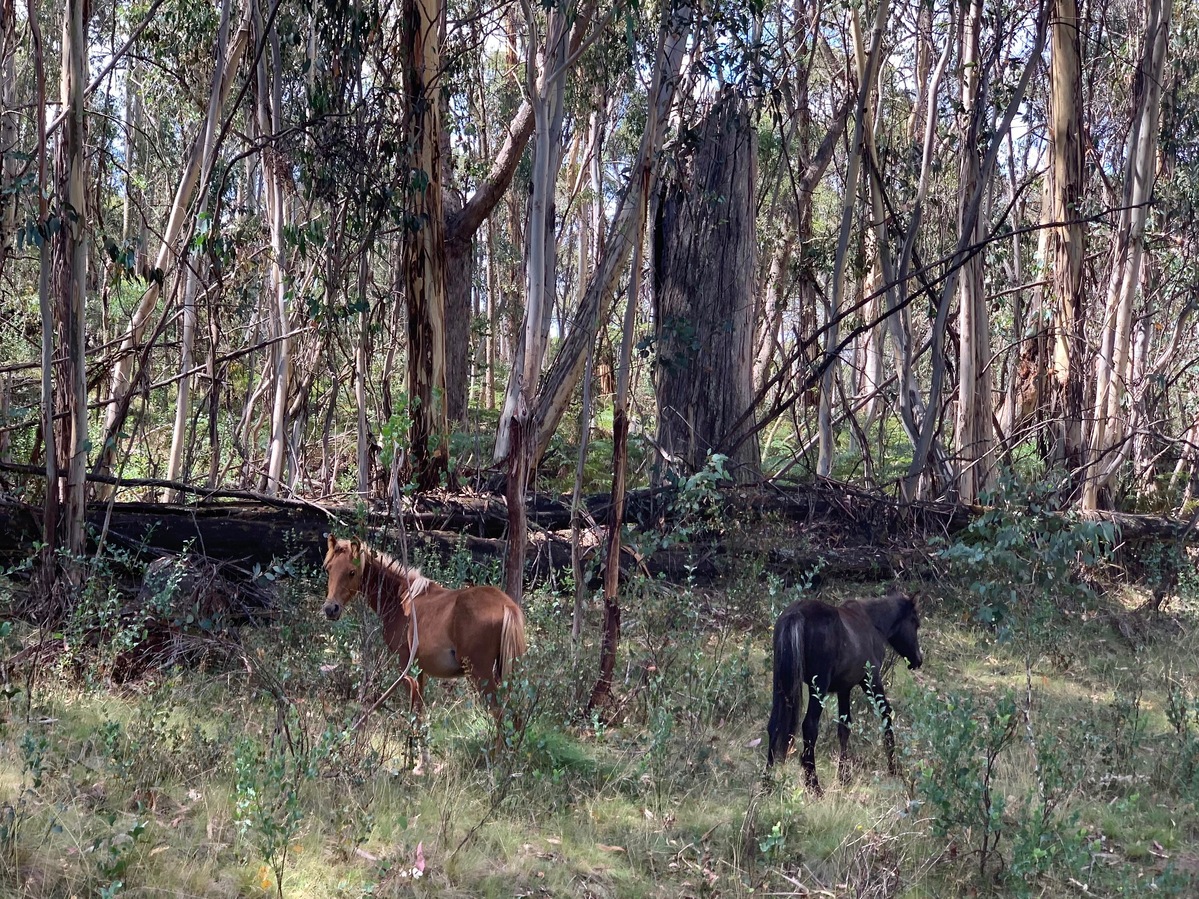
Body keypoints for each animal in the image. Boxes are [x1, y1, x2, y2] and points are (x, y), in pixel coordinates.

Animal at [321, 539, 527, 743]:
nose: (330, 609)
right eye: (328, 568)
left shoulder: (405, 667)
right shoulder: (420, 671)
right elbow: (419, 712)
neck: (401, 599)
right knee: (515, 718)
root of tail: (506, 605)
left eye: (351, 572)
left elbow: (414, 713)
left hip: (481, 674)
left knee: (500, 715)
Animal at [762, 592, 920, 795]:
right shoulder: (871, 681)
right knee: (809, 727)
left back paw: (767, 783)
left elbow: (844, 728)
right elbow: (886, 715)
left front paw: (844, 776)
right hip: (818, 687)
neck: (872, 623)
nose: (918, 660)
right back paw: (815, 787)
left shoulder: (844, 689)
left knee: (774, 725)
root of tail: (796, 613)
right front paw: (894, 768)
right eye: (915, 622)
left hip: (782, 684)